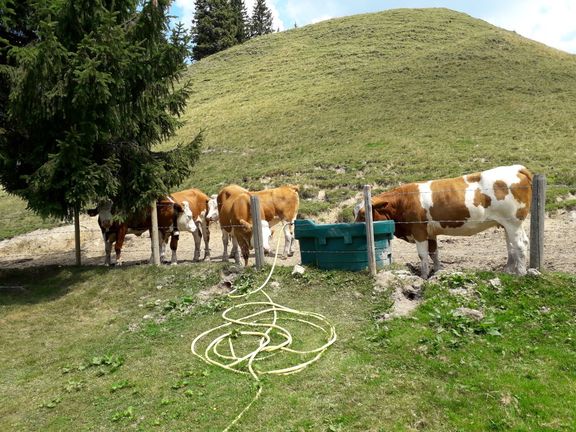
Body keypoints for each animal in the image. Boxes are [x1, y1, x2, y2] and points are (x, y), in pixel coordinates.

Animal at [354, 164, 532, 278]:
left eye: (363, 214)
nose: (354, 225)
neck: (403, 201)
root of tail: (516, 168)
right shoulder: (430, 233)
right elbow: (434, 253)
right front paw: (437, 271)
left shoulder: (419, 231)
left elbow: (423, 255)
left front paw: (424, 276)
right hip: (506, 224)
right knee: (510, 246)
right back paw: (508, 271)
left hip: (513, 222)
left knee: (520, 244)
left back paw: (520, 274)